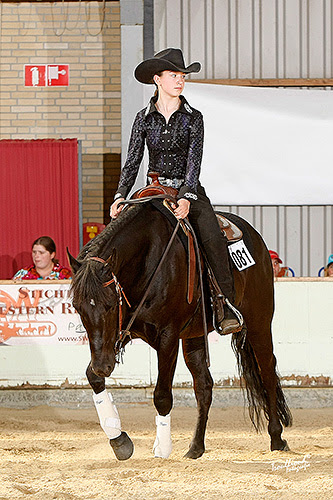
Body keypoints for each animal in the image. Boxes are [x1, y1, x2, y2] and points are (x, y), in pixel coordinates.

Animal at [68, 199, 290, 460]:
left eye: (111, 304)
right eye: (77, 307)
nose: (104, 366)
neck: (147, 258)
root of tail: (255, 237)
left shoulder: (168, 337)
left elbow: (162, 395)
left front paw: (162, 448)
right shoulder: (121, 334)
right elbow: (92, 378)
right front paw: (119, 441)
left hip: (259, 322)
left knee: (267, 371)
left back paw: (277, 437)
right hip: (195, 335)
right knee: (204, 387)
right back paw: (196, 447)